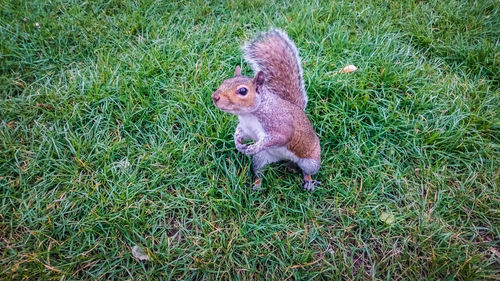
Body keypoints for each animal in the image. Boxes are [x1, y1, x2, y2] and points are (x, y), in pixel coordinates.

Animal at [211, 27, 320, 190]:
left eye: (242, 91)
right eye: (224, 82)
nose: (214, 97)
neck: (249, 115)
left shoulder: (280, 125)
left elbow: (280, 137)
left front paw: (254, 147)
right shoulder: (246, 128)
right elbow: (241, 133)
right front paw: (238, 143)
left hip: (310, 160)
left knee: (307, 171)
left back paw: (308, 182)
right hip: (261, 158)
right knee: (259, 171)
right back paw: (257, 185)